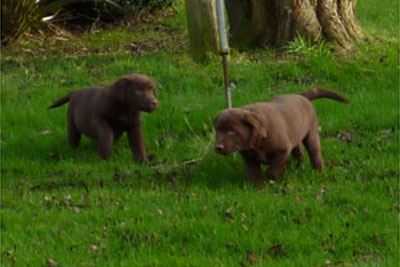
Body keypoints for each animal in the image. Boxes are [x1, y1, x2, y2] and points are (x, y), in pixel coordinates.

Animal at [214, 88, 348, 186]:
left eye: (232, 131)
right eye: (218, 130)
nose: (218, 147)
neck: (257, 142)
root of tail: (301, 96)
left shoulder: (283, 150)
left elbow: (272, 171)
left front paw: (279, 175)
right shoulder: (249, 158)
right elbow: (254, 175)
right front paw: (257, 188)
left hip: (311, 135)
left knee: (315, 154)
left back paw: (318, 172)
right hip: (295, 136)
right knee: (299, 153)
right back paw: (297, 168)